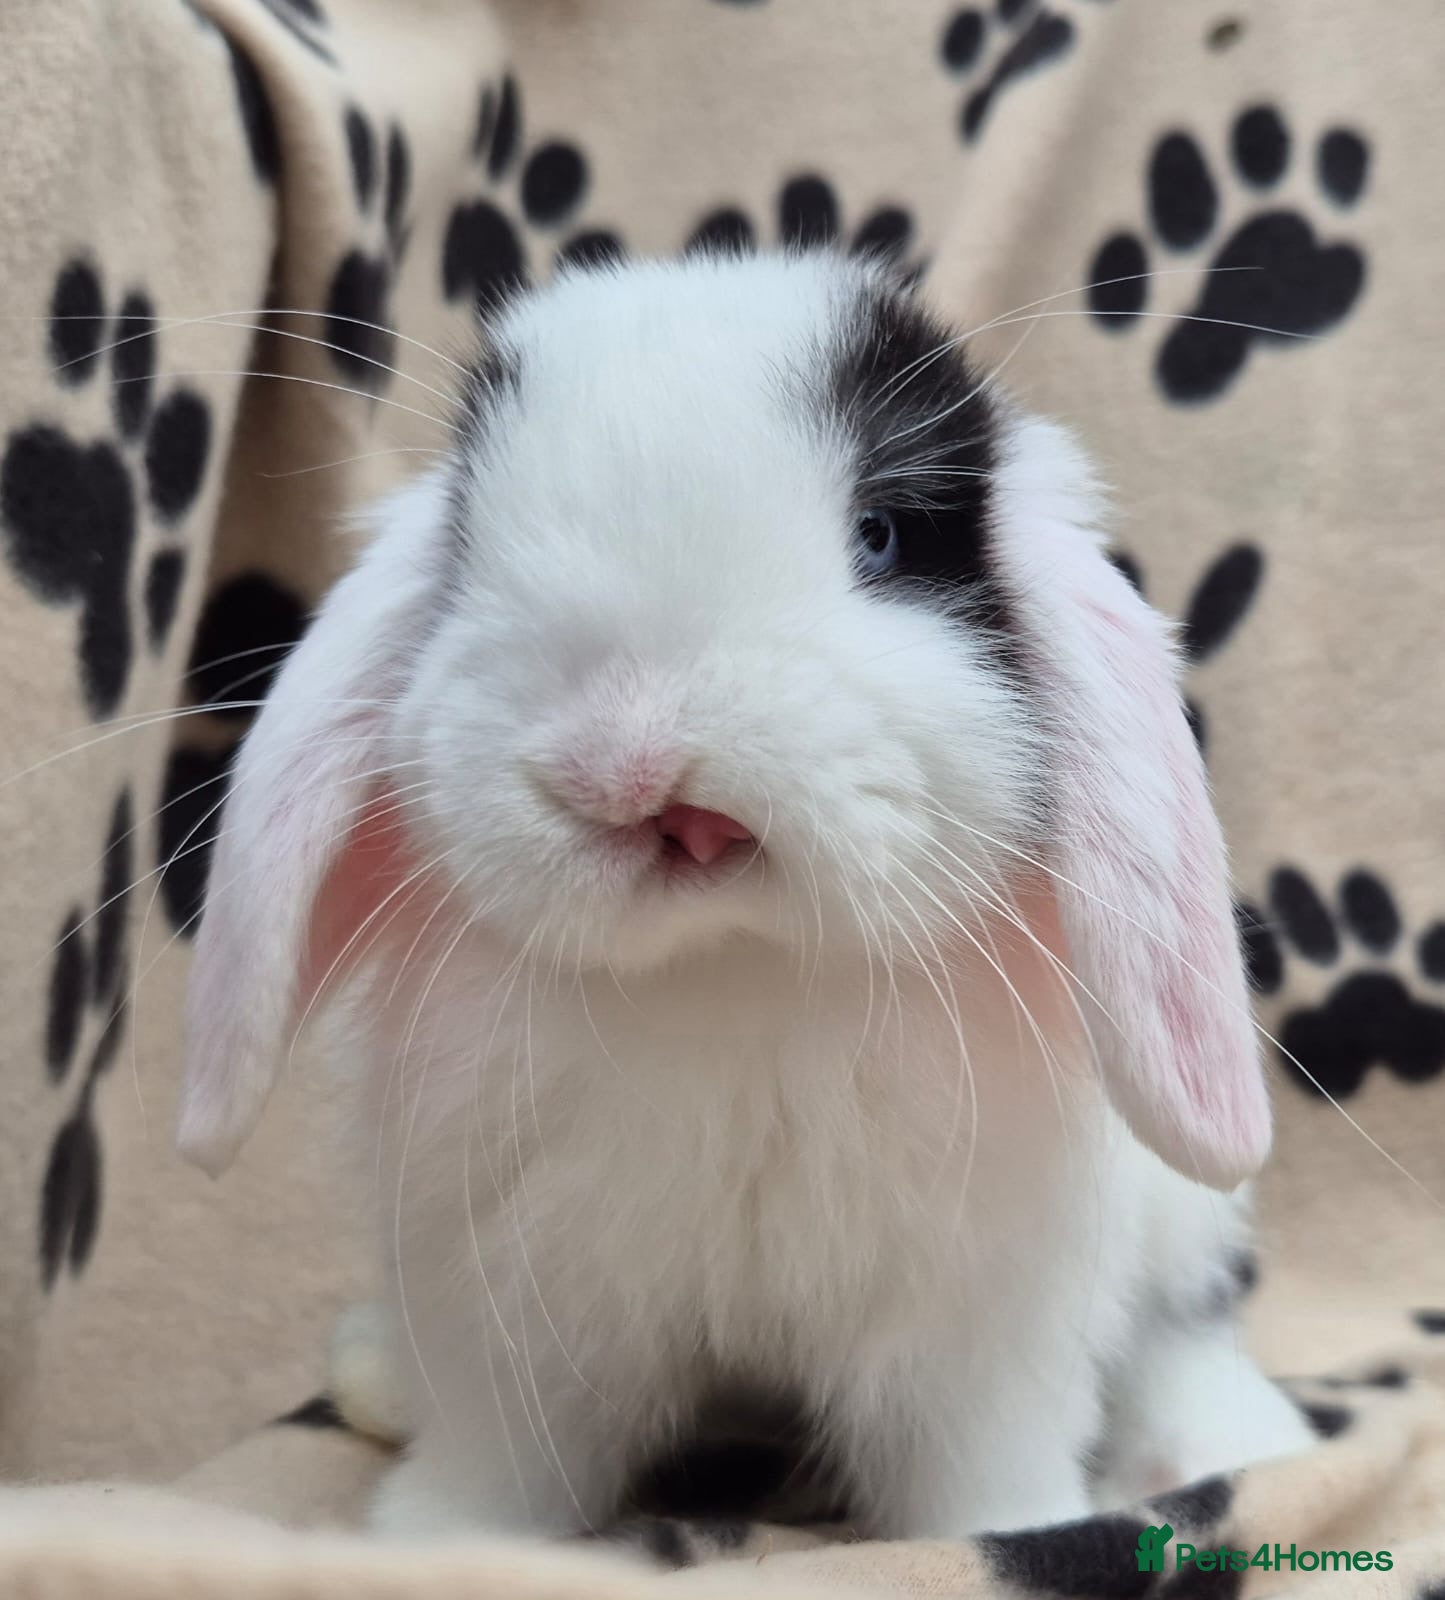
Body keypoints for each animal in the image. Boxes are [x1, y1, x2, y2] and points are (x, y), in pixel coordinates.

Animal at [176, 250, 1312, 1542]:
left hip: (1180, 1227)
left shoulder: (978, 1326)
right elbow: (504, 1458)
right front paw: (437, 1537)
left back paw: (1232, 1445)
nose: (629, 764)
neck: (732, 970)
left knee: (1183, 1332)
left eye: (880, 534)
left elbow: (972, 1463)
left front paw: (1003, 1538)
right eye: (467, 547)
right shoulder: (509, 1307)